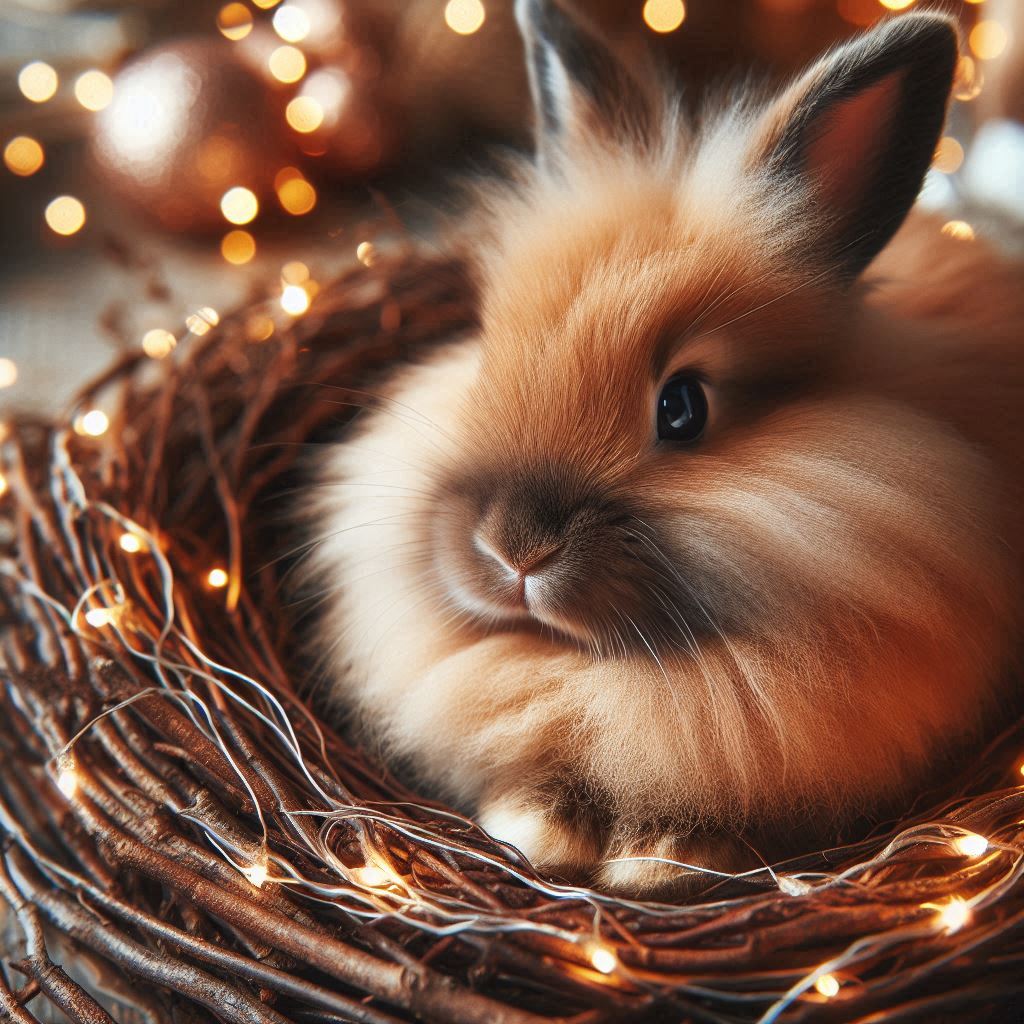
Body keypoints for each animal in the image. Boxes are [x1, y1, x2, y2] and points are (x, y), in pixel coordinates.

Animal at [308, 2, 1024, 895]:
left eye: (682, 408)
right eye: (489, 351)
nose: (512, 549)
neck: (607, 674)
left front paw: (660, 859)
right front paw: (538, 827)